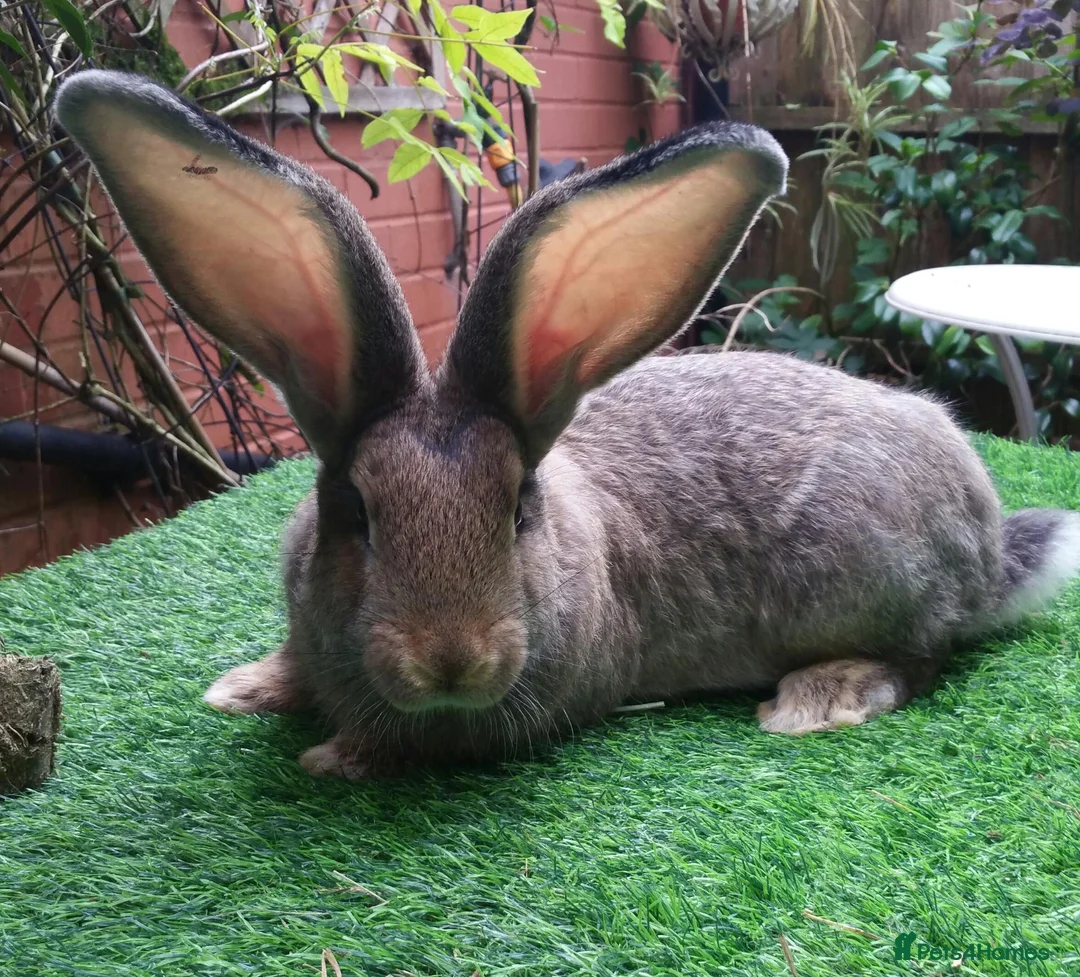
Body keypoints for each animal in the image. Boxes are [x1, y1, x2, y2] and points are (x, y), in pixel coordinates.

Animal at [56, 69, 1080, 780]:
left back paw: (816, 701)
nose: (453, 662)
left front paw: (334, 757)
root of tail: (988, 542)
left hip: (869, 584)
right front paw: (244, 689)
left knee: (920, 659)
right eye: (354, 512)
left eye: (518, 511)